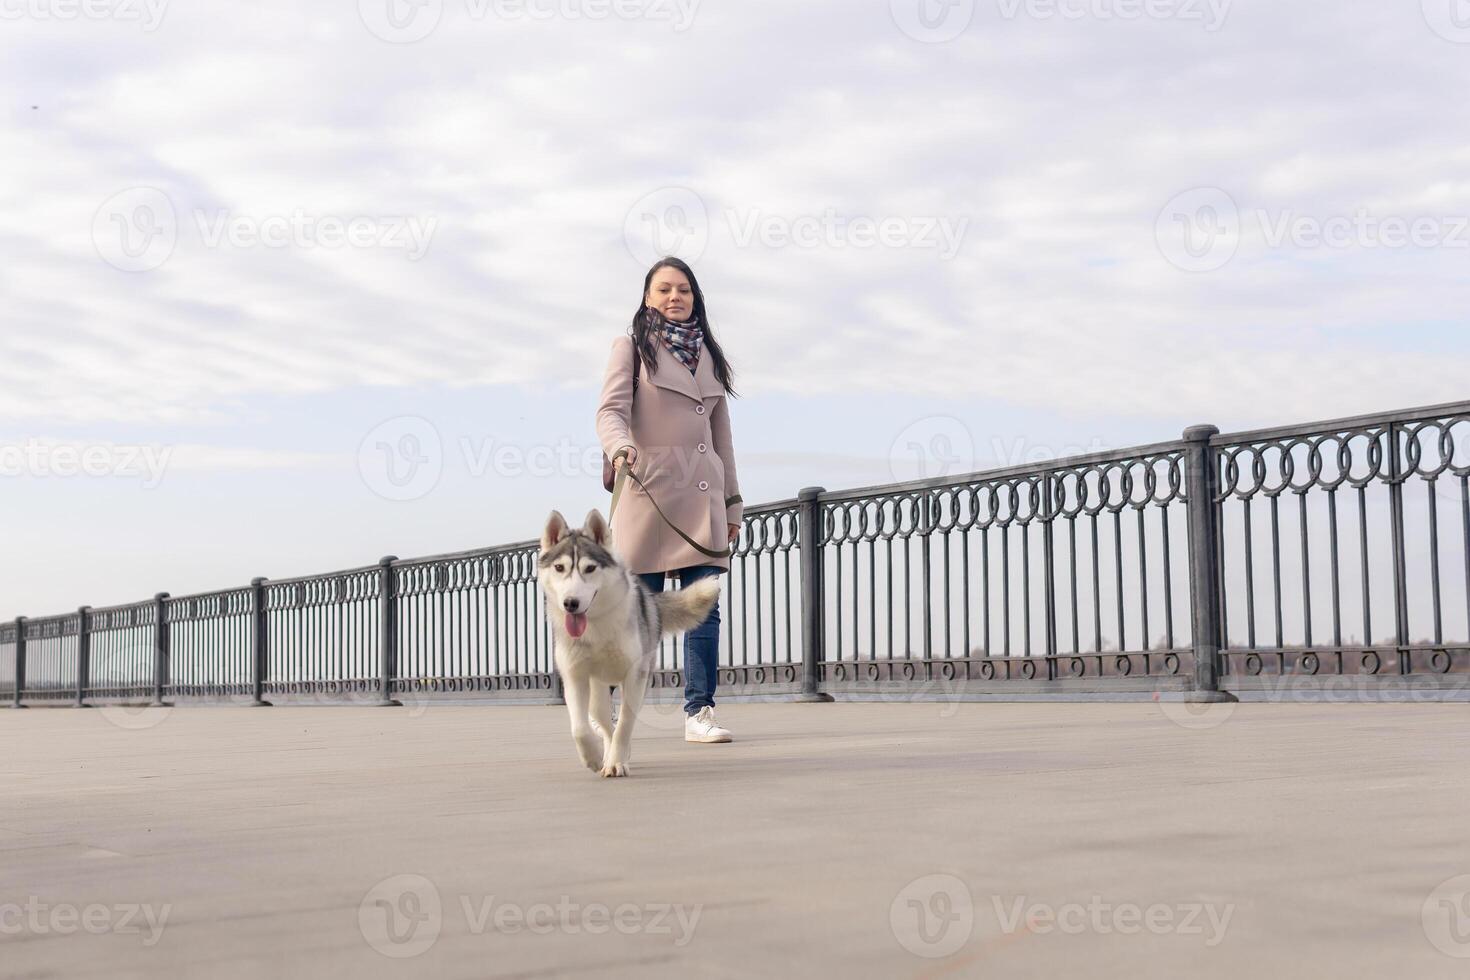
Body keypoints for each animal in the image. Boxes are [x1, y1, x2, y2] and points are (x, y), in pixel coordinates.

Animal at [540, 511, 723, 775]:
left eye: (590, 568)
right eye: (559, 567)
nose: (571, 603)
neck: (596, 625)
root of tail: (652, 600)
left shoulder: (635, 677)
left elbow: (626, 724)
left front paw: (617, 761)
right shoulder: (575, 676)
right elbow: (580, 728)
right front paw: (593, 757)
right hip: (597, 690)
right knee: (604, 722)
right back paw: (605, 754)